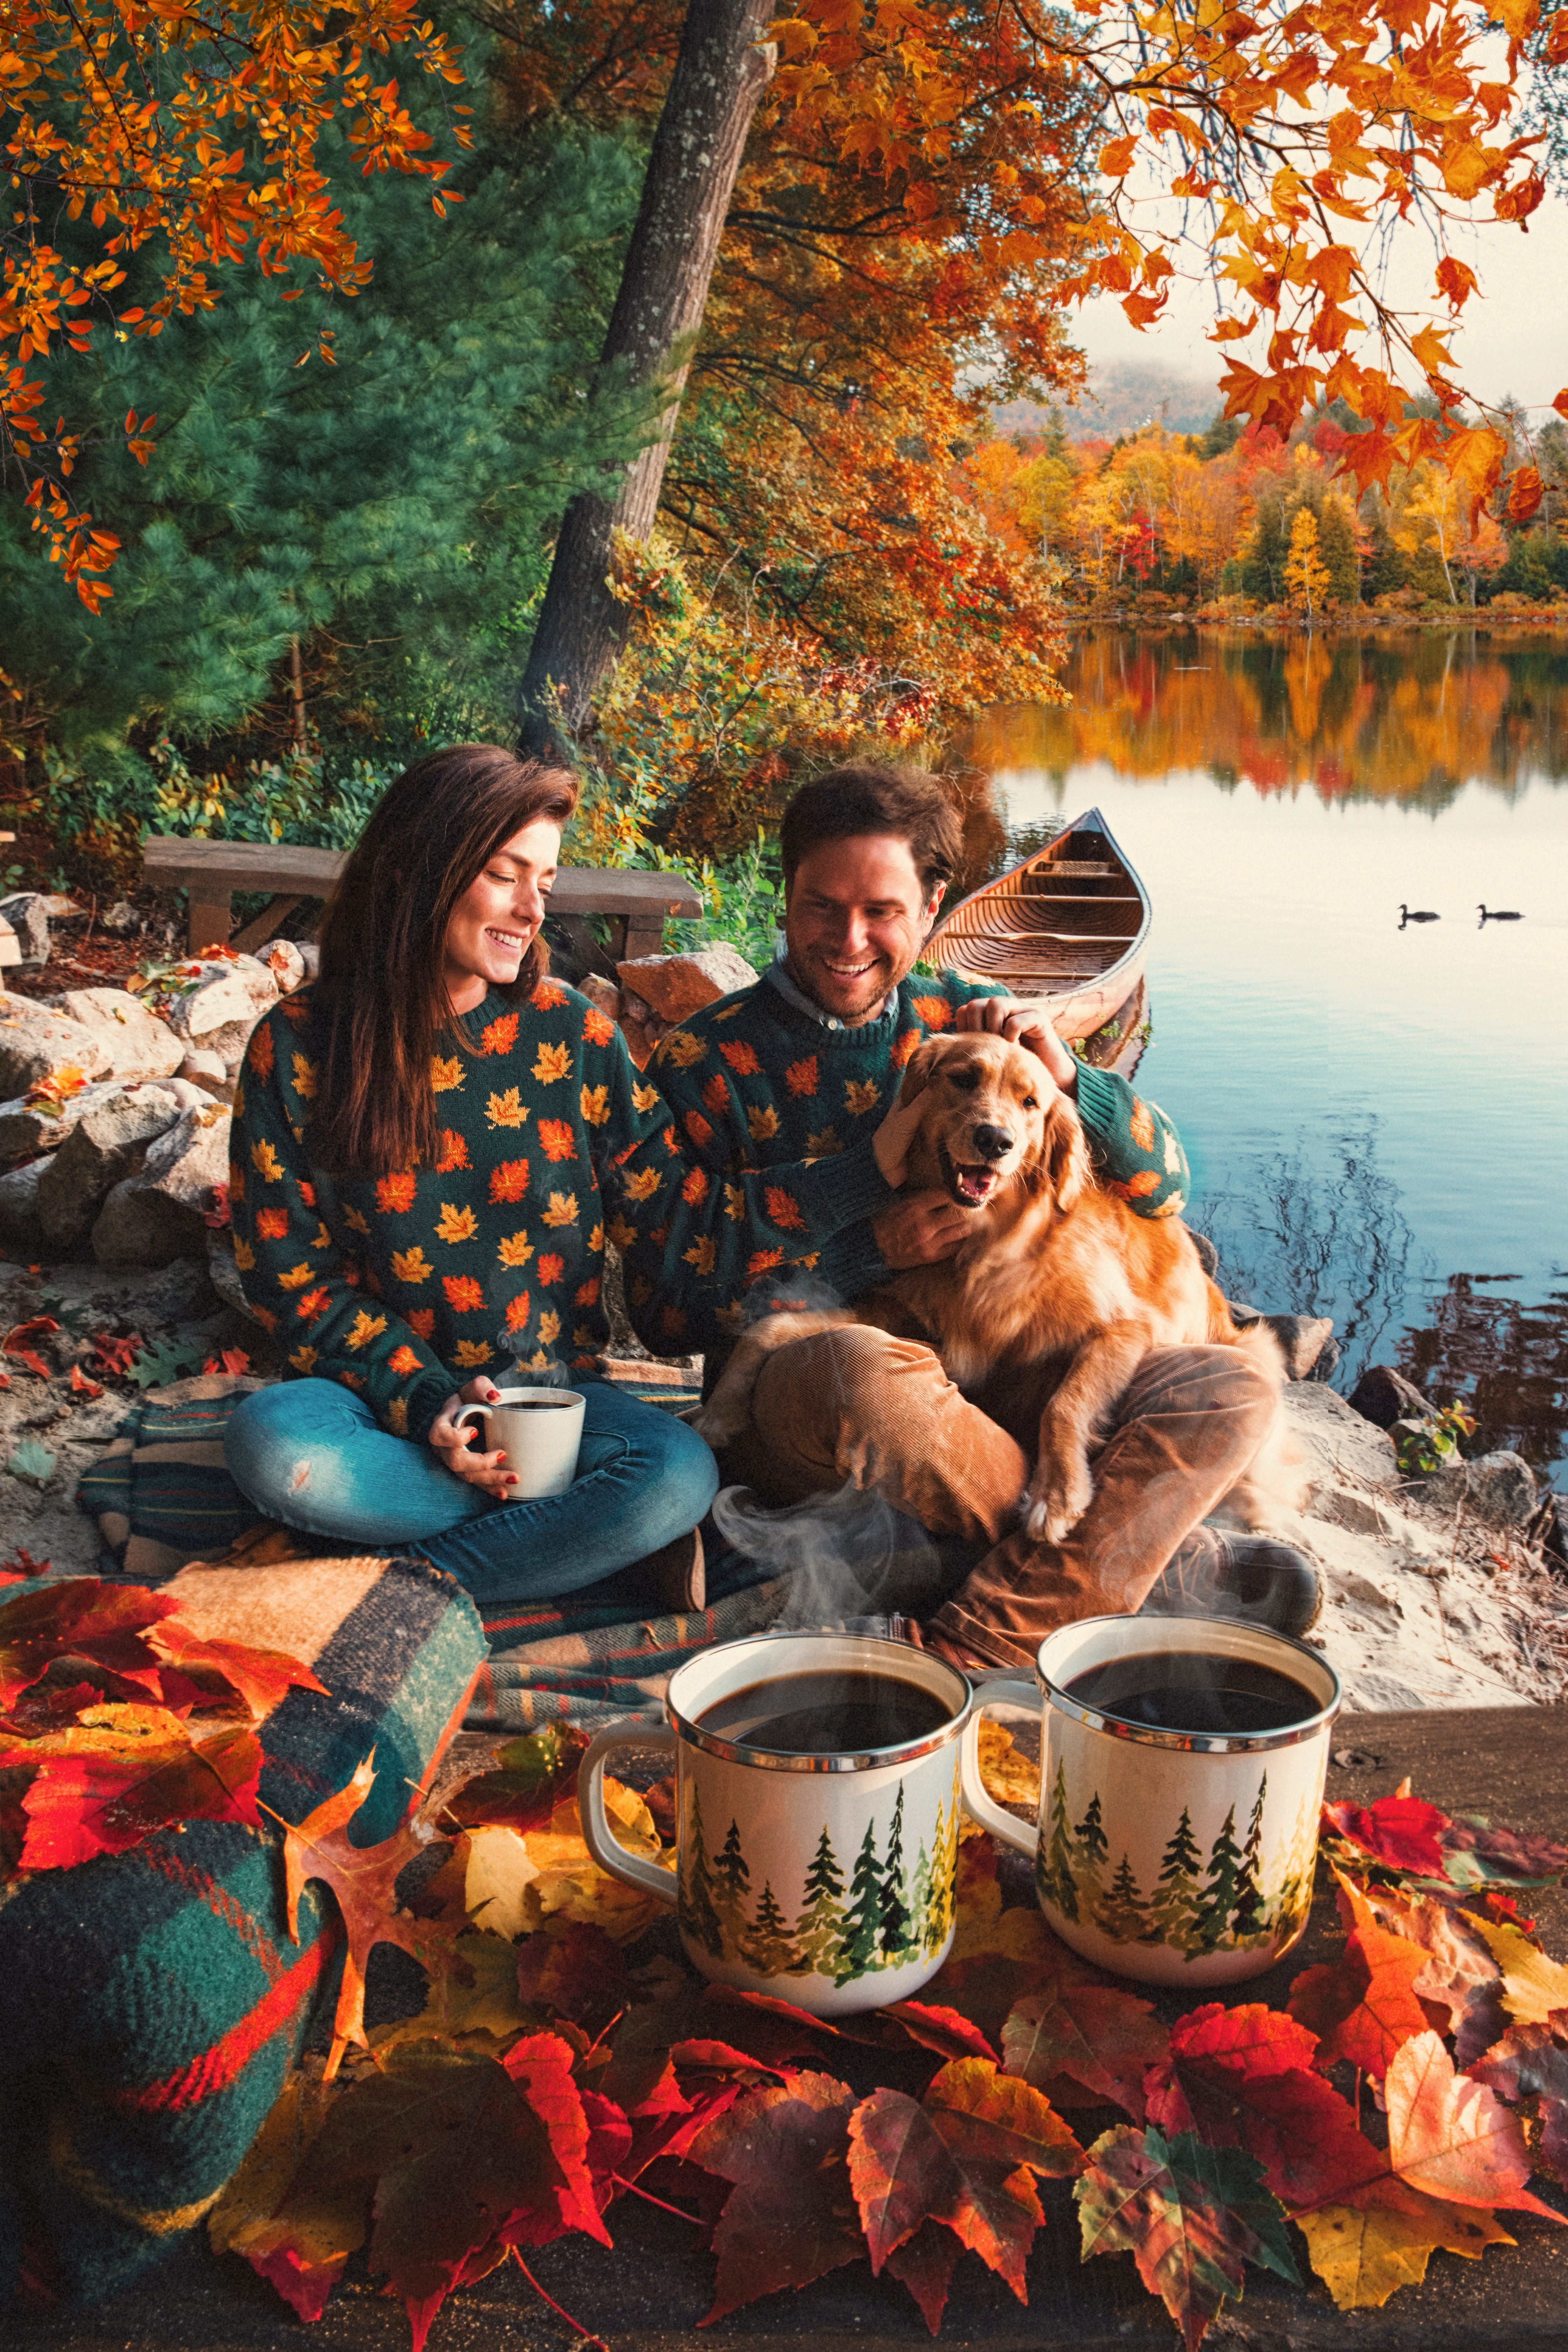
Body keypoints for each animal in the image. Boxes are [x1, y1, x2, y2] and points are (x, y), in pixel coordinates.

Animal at [696, 1040, 1297, 1552]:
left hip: (1256, 1350)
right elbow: (771, 1325)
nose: (996, 1141)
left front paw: (1058, 1495)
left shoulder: (1127, 1326)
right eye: (963, 1079)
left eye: (1031, 1103)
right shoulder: (907, 1318)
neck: (987, 1244)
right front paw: (721, 1408)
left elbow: (1067, 1403)